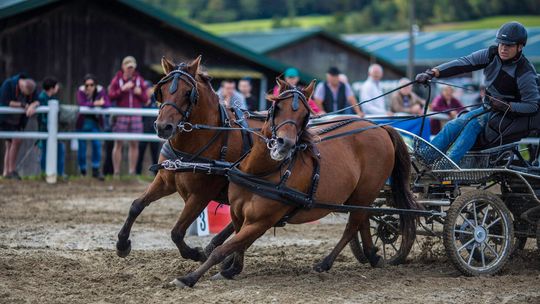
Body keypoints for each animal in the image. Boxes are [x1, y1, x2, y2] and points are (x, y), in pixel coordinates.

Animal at [116, 56, 264, 262]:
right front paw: (122, 244)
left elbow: (177, 232)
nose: (163, 127)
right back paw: (213, 245)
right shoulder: (165, 181)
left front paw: (195, 253)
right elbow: (136, 205)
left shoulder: (201, 195)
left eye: (188, 92)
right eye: (161, 90)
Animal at [171, 78, 416, 288]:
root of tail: (379, 127)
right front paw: (230, 269)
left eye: (305, 114)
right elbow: (238, 244)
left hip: (366, 191)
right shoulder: (239, 215)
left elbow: (224, 248)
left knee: (352, 226)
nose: (284, 144)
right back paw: (372, 255)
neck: (261, 172)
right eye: (277, 107)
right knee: (363, 222)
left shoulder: (262, 221)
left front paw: (189, 278)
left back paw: (326, 263)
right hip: (360, 196)